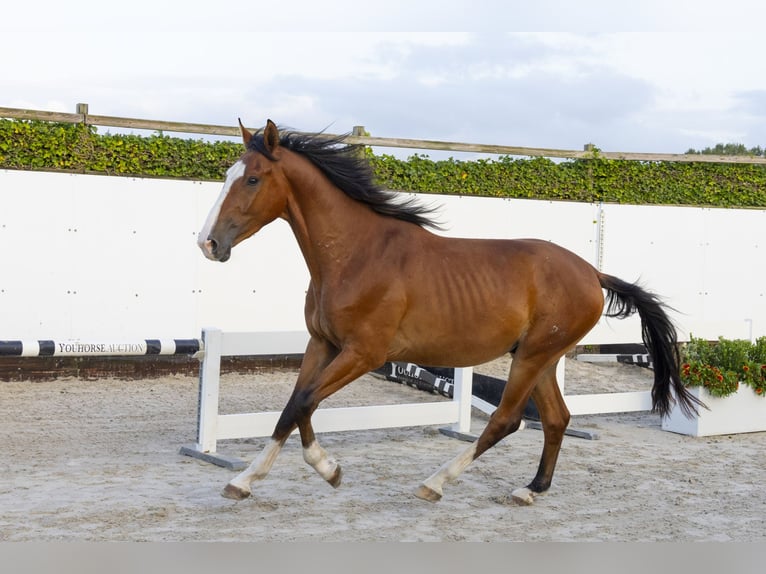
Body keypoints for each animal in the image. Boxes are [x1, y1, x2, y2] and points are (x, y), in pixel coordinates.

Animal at [198, 119, 704, 506]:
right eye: (227, 174)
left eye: (252, 179)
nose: (208, 243)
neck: (356, 255)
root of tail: (592, 273)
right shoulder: (322, 344)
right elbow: (293, 407)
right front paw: (245, 481)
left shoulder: (364, 353)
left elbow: (304, 402)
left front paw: (327, 469)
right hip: (541, 357)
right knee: (557, 418)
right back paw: (531, 489)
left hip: (533, 356)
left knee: (506, 420)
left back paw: (435, 483)